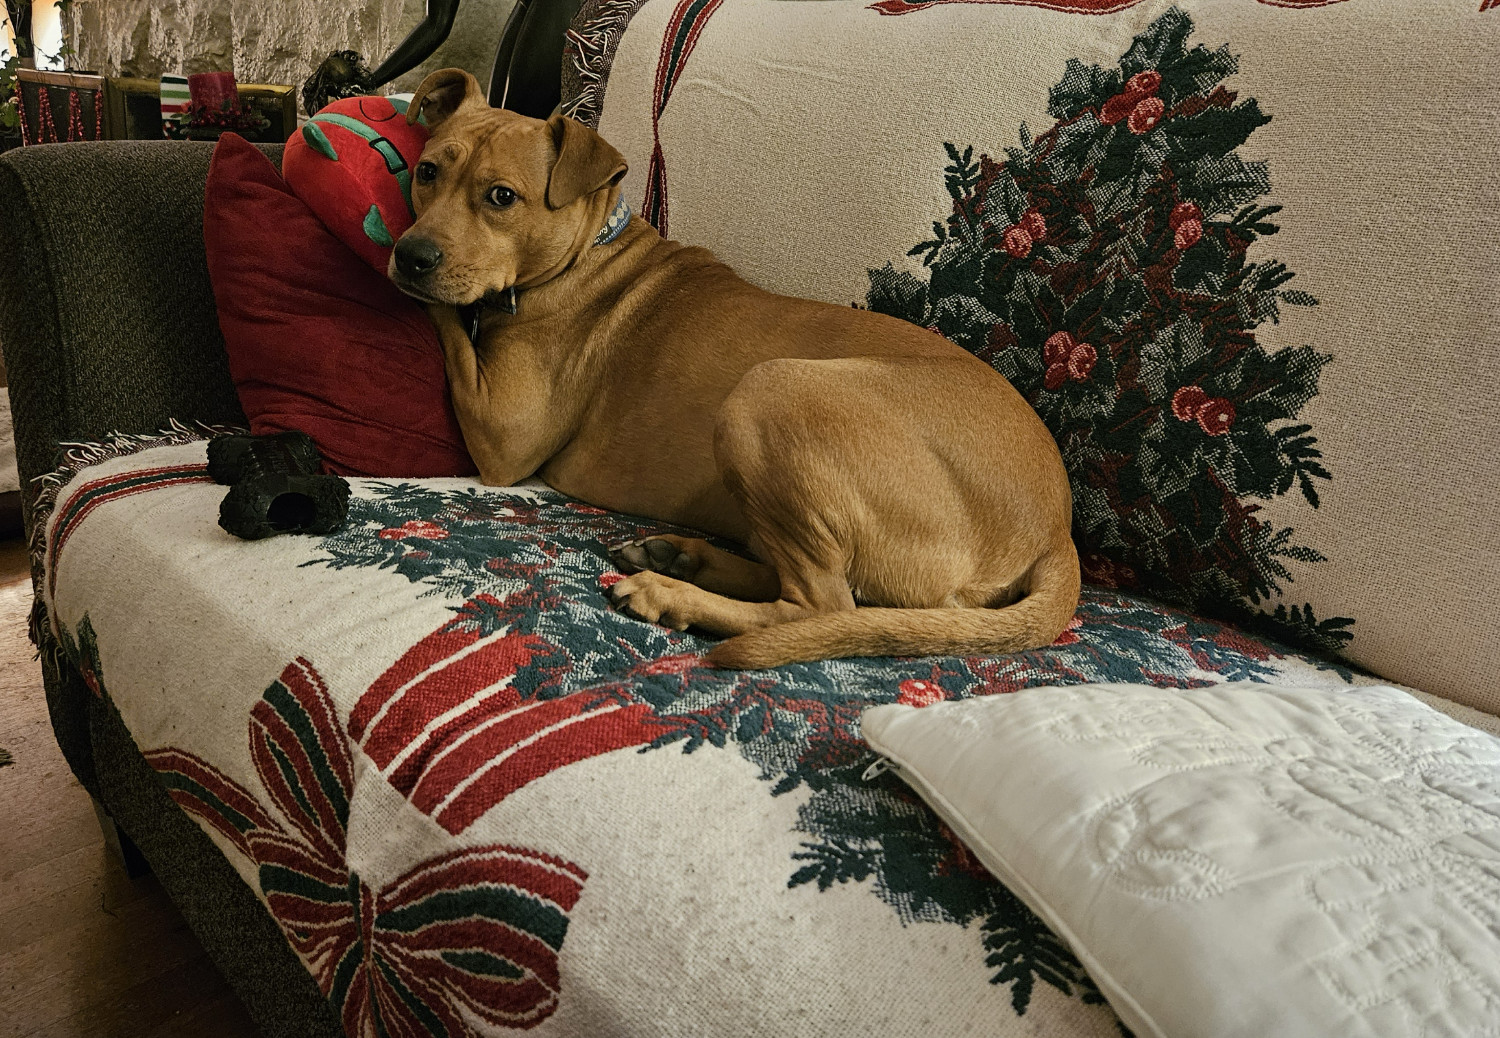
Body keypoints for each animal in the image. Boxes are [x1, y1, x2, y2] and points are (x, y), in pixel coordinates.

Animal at [390, 73, 1080, 669]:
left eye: (502, 197)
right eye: (427, 173)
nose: (410, 254)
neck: (587, 252)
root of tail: (1057, 532)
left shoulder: (504, 436)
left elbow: (445, 318)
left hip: (771, 390)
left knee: (819, 605)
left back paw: (672, 593)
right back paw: (680, 556)